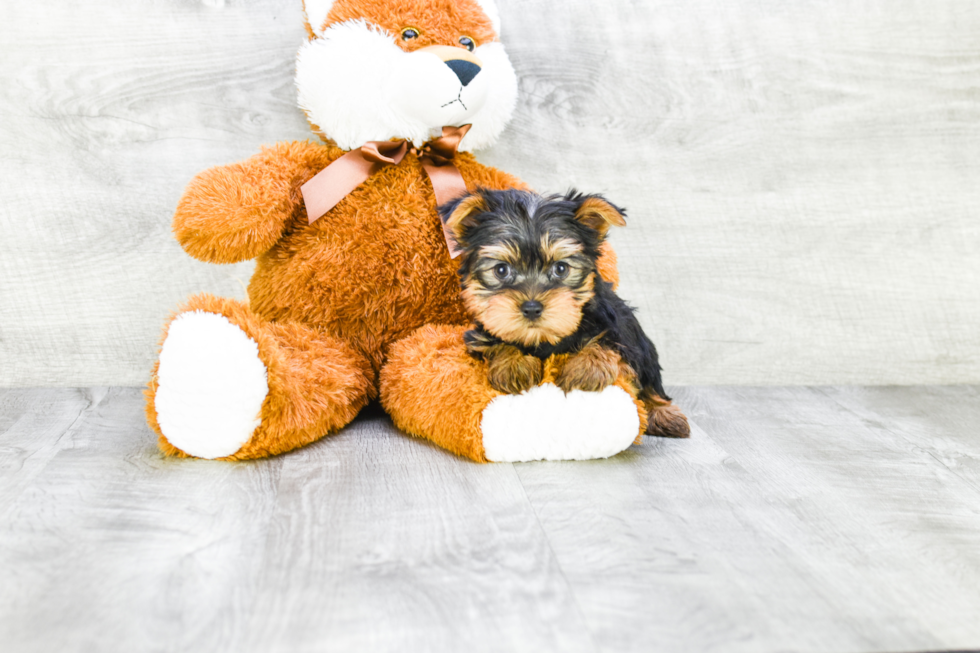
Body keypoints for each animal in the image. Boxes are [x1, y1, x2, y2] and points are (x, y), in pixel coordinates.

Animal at [440, 187, 692, 438]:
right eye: (501, 270)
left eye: (561, 268)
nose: (531, 308)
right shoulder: (482, 332)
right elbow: (495, 341)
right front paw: (513, 365)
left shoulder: (618, 328)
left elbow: (608, 342)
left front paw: (586, 370)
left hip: (644, 347)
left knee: (651, 381)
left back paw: (665, 414)